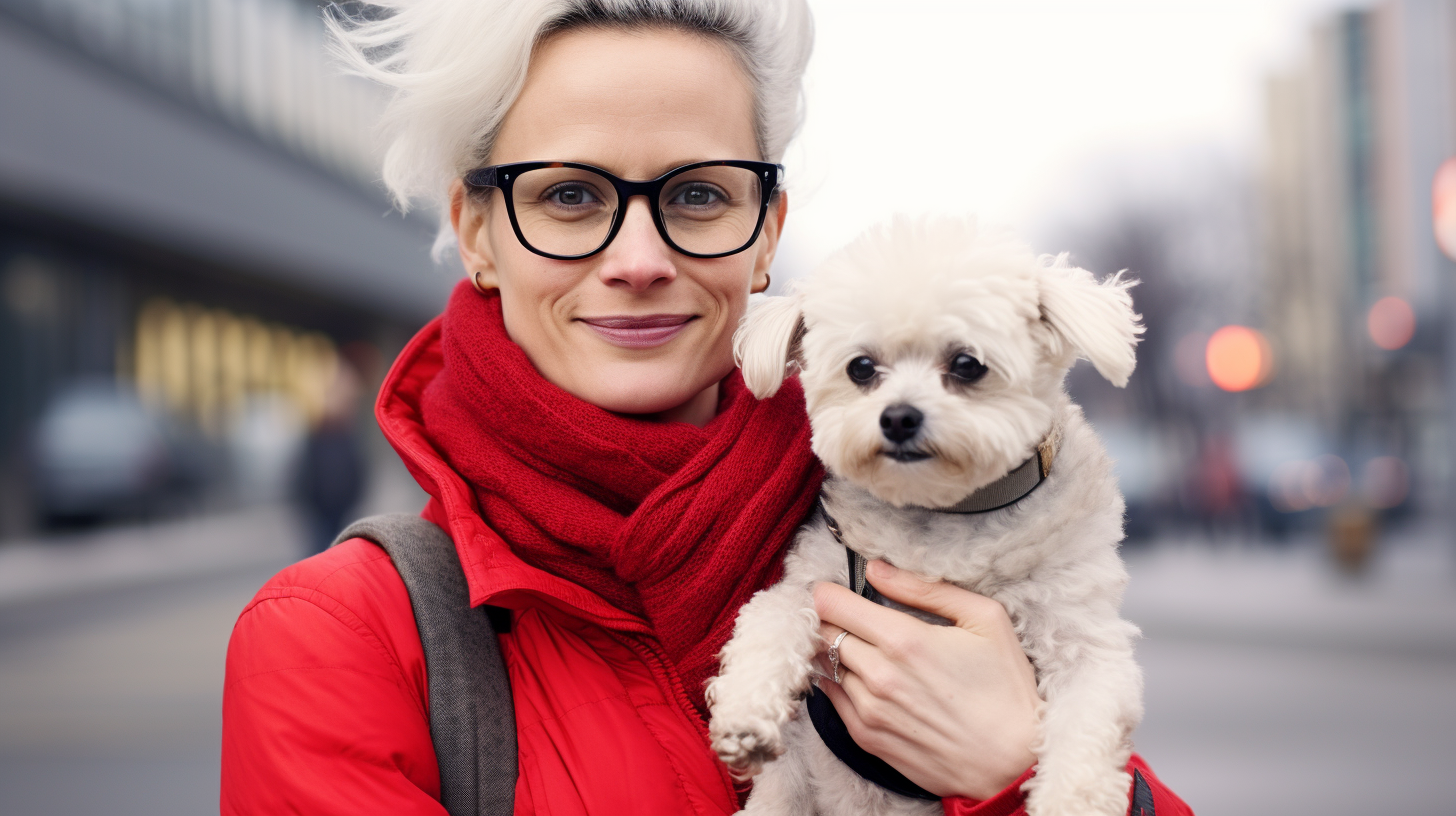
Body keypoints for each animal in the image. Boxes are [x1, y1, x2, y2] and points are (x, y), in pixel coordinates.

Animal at [707, 218, 1147, 816]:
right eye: (861, 368)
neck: (939, 516)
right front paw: (745, 708)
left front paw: (1067, 801)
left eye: (966, 365)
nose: (898, 417)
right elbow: (773, 613)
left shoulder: (1085, 642)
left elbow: (1084, 733)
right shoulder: (821, 579)